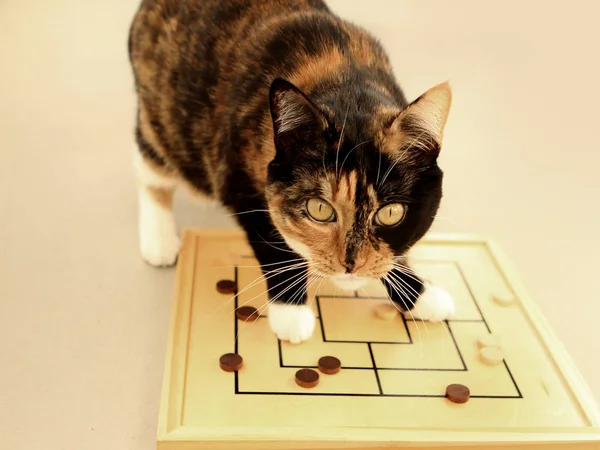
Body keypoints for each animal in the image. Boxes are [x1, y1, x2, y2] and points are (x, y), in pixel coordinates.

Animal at [127, 0, 454, 342]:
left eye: (391, 213)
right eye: (319, 209)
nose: (351, 264)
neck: (347, 84)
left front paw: (421, 295)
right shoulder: (241, 181)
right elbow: (273, 242)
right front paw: (291, 312)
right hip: (163, 120)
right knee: (150, 166)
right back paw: (159, 240)